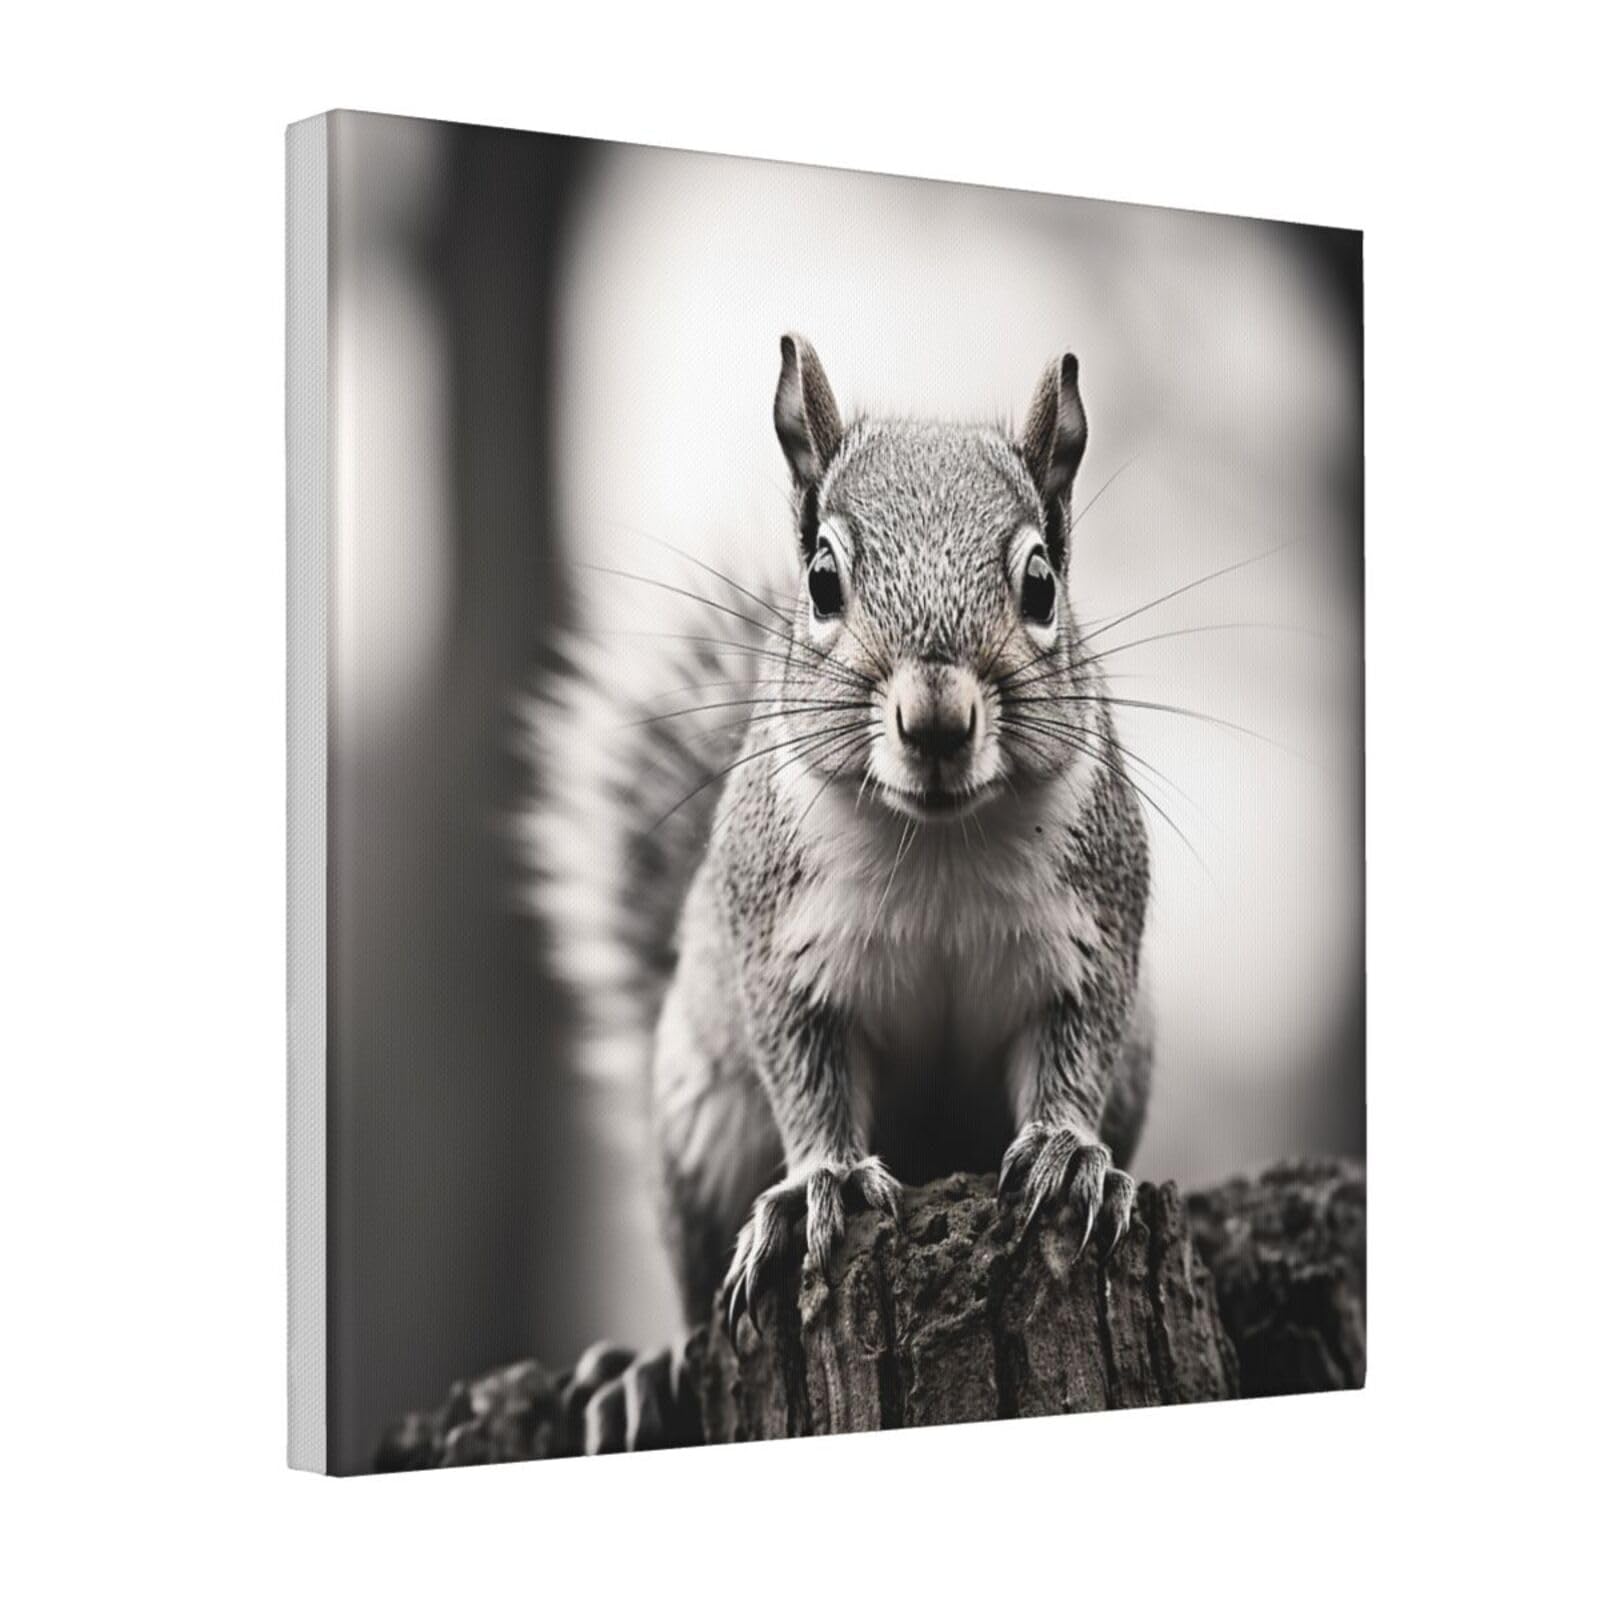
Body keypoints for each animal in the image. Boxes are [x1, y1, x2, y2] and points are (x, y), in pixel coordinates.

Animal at [529, 335, 1152, 1442]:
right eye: (821, 578)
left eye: (1041, 582)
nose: (937, 721)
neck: (935, 844)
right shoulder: (776, 950)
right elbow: (806, 1075)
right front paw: (817, 1187)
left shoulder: (1097, 932)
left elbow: (1075, 1049)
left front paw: (1070, 1156)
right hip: (697, 1120)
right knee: (698, 1281)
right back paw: (649, 1366)